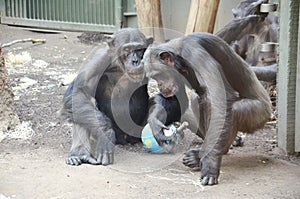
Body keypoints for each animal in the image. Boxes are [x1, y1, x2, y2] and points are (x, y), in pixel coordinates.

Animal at [59, 28, 186, 166]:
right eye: (127, 49)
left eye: (139, 49)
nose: (135, 61)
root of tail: (124, 139)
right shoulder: (99, 58)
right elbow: (79, 91)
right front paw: (106, 134)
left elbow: (177, 95)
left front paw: (155, 122)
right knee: (81, 105)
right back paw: (80, 155)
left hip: (137, 132)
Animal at [142, 31, 270, 186]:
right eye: (153, 77)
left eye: (157, 75)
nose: (159, 85)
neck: (180, 54)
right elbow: (179, 101)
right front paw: (156, 125)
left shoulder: (196, 55)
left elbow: (219, 102)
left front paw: (210, 165)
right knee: (196, 99)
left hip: (259, 115)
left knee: (231, 108)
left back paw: (206, 154)